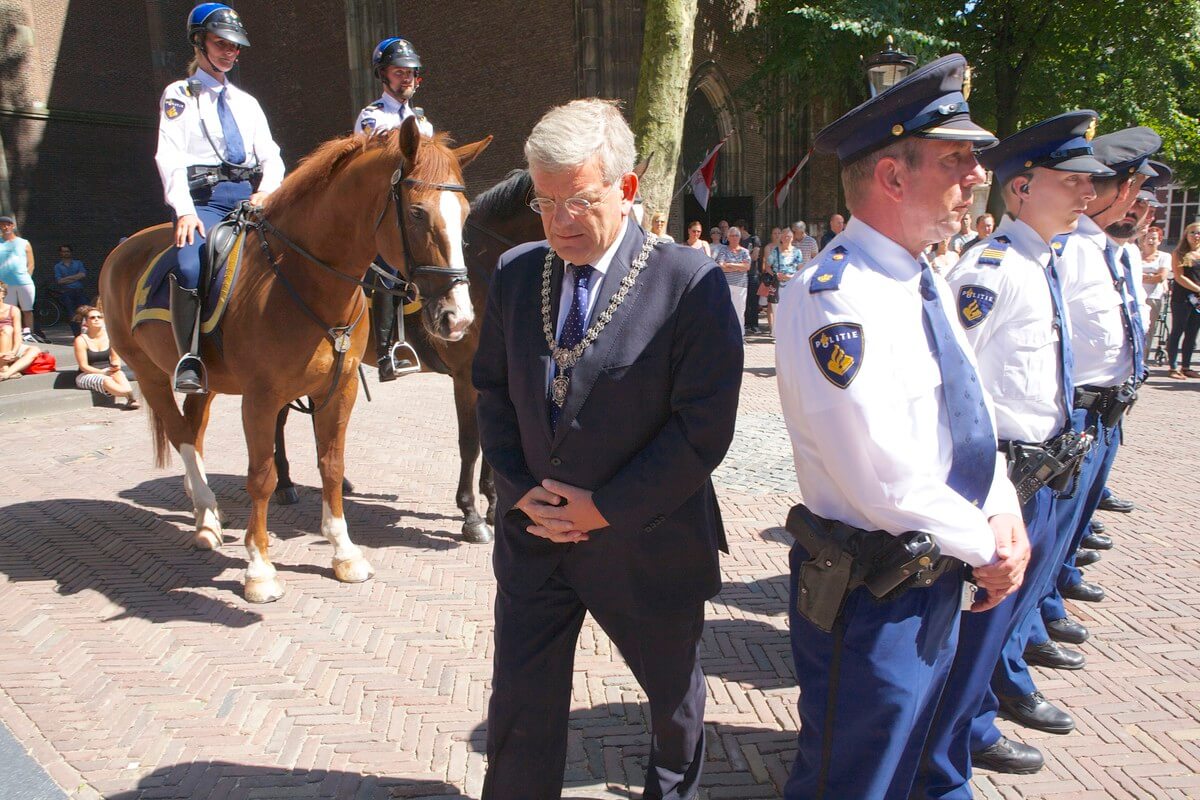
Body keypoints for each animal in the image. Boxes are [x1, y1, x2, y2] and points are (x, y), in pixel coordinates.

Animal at [100, 118, 489, 604]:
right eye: (417, 212)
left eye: (466, 214)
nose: (459, 317)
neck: (302, 279)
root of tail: (122, 250)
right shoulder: (260, 398)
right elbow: (260, 476)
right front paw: (260, 569)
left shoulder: (338, 389)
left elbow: (332, 466)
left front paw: (344, 552)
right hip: (150, 374)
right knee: (181, 435)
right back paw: (208, 514)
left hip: (205, 382)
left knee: (195, 429)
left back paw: (206, 511)